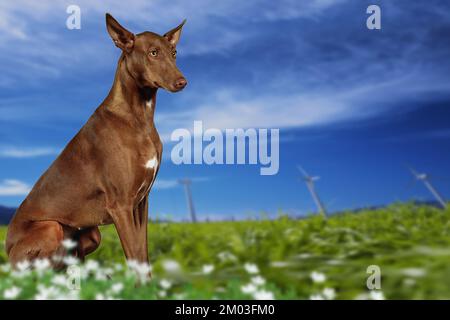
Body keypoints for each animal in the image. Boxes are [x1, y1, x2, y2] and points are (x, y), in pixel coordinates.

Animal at [4, 13, 186, 266]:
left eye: (174, 53)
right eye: (153, 52)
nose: (182, 82)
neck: (138, 117)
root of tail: (7, 249)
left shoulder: (141, 203)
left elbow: (143, 258)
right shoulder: (121, 205)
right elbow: (134, 258)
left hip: (91, 234)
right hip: (51, 228)